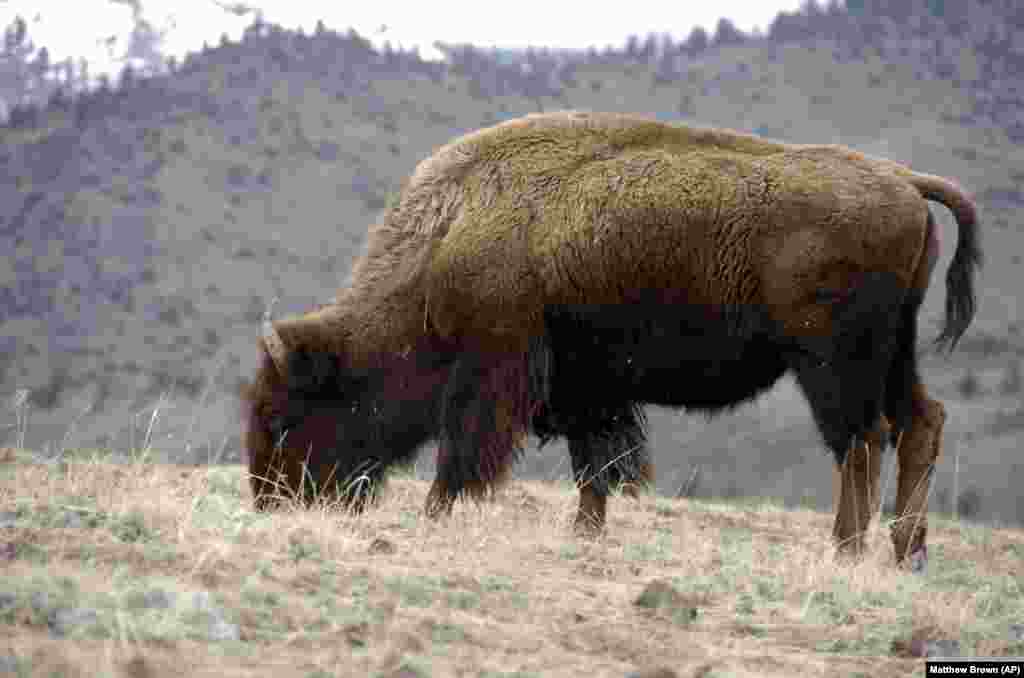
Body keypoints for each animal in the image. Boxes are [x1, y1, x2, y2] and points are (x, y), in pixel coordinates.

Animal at [242, 111, 980, 570]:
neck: (450, 232)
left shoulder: (495, 370)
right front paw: (586, 532)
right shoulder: (586, 383)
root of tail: (904, 181)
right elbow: (594, 464)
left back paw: (846, 551)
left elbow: (464, 454)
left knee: (862, 440)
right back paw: (905, 551)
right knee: (920, 423)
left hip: (831, 361)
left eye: (284, 417)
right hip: (893, 353)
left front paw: (434, 516)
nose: (270, 502)